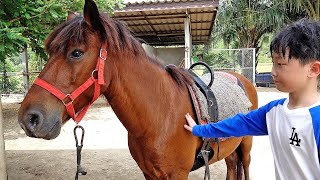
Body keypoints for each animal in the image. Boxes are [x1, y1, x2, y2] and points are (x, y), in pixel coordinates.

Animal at [18, 0, 258, 179]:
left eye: (77, 53)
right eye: (50, 52)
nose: (29, 119)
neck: (160, 116)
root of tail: (240, 79)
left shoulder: (178, 175)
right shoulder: (149, 174)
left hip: (246, 145)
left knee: (244, 167)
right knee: (231, 167)